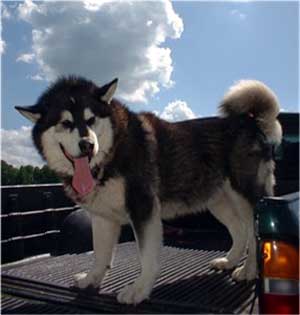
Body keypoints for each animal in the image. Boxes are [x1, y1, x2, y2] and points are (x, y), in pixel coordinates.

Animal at [16, 77, 282, 306]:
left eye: (91, 120)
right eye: (66, 123)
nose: (87, 145)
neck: (113, 151)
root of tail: (251, 122)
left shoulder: (143, 209)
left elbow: (147, 258)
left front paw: (139, 290)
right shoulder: (103, 217)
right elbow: (100, 254)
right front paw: (92, 280)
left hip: (245, 197)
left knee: (254, 235)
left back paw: (248, 270)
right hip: (219, 202)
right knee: (240, 231)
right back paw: (229, 261)